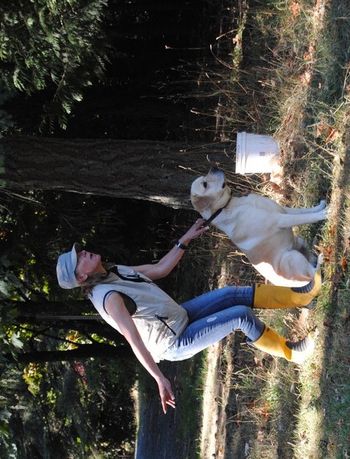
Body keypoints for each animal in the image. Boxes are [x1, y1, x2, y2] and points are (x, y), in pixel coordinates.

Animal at [190, 169, 326, 288]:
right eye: (205, 184)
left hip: (299, 242)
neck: (231, 205)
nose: (214, 167)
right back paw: (320, 260)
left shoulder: (284, 210)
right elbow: (305, 217)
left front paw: (321, 206)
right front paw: (324, 213)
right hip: (290, 257)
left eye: (204, 178)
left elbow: (305, 211)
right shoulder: (280, 219)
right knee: (313, 274)